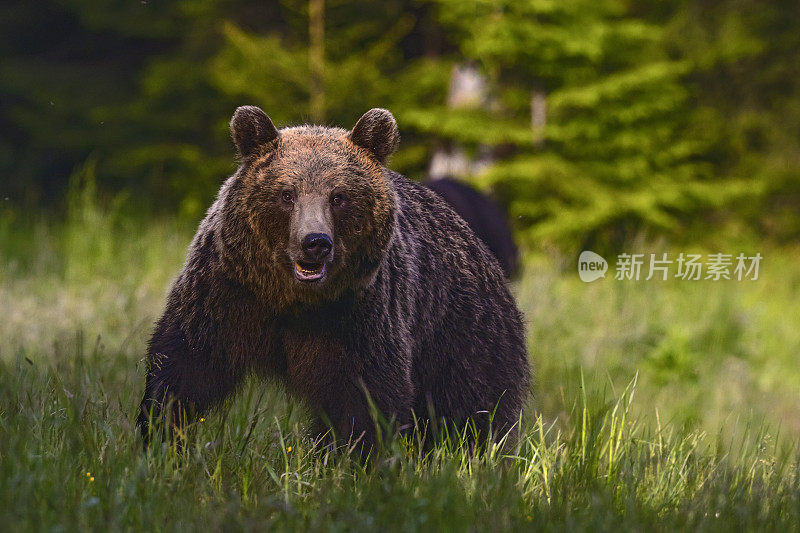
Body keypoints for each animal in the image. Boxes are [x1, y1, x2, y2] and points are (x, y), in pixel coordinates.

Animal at [138, 107, 532, 448]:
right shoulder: (228, 293)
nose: (315, 243)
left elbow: (365, 396)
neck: (291, 299)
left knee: (473, 410)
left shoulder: (359, 315)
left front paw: (355, 459)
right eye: (286, 194)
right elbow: (185, 367)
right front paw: (159, 437)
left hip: (464, 337)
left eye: (339, 196)